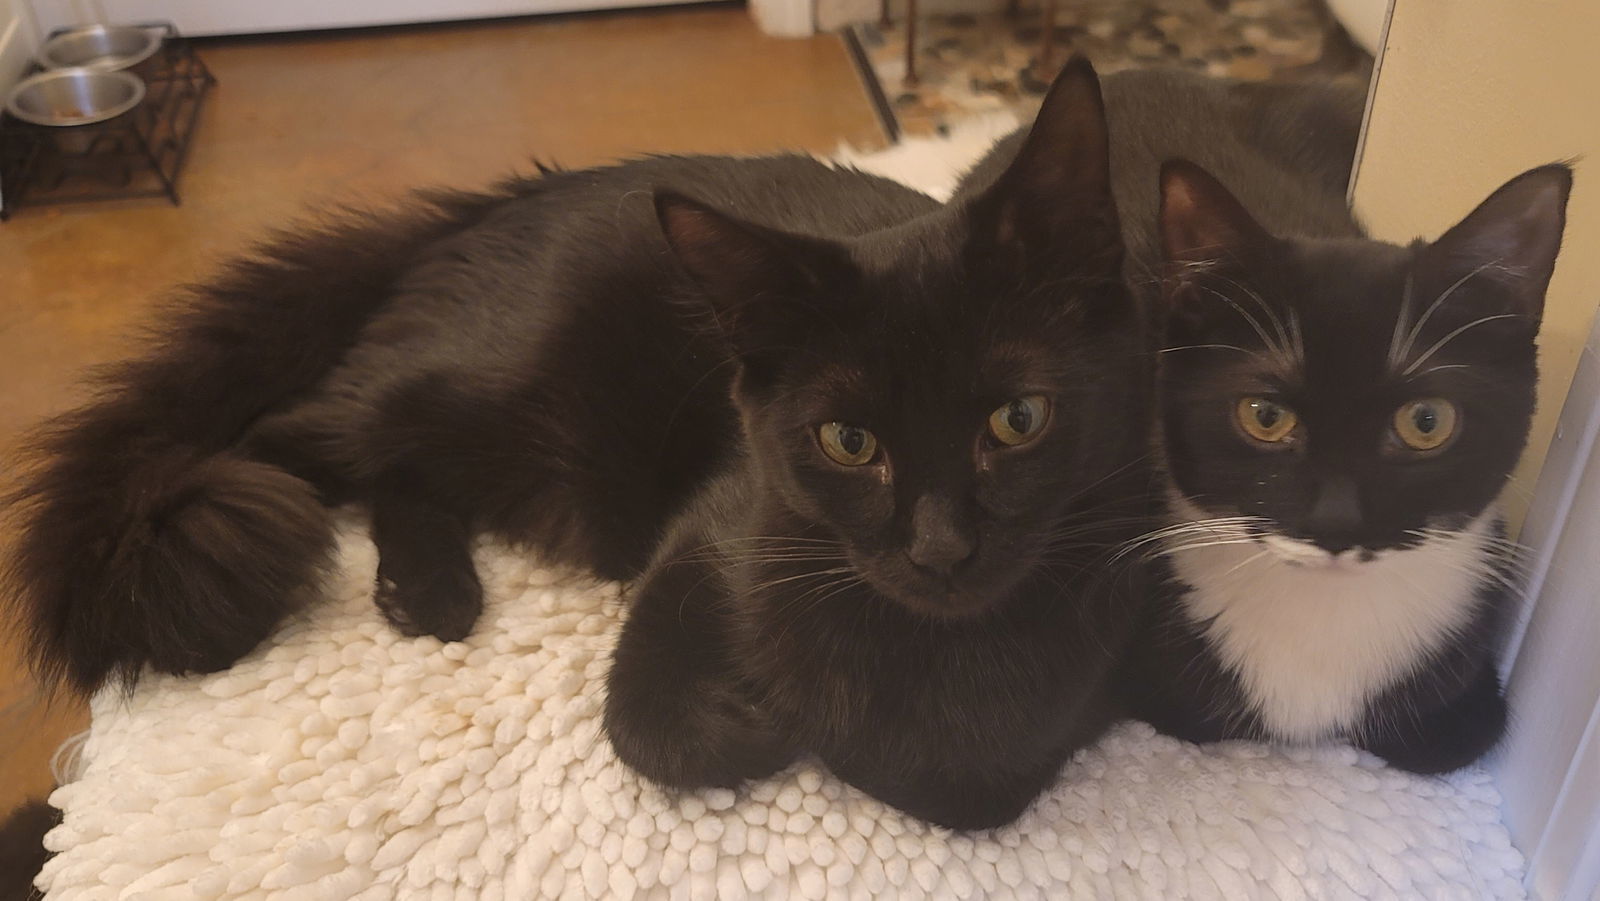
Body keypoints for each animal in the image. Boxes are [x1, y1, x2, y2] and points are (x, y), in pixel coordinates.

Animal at [3, 60, 1152, 825]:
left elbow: (959, 780)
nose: (941, 549)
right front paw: (762, 724)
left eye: (1018, 419)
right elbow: (642, 722)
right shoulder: (707, 537)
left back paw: (428, 588)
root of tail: (508, 196)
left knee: (398, 472)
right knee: (280, 436)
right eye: (847, 438)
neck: (925, 643)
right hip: (470, 386)